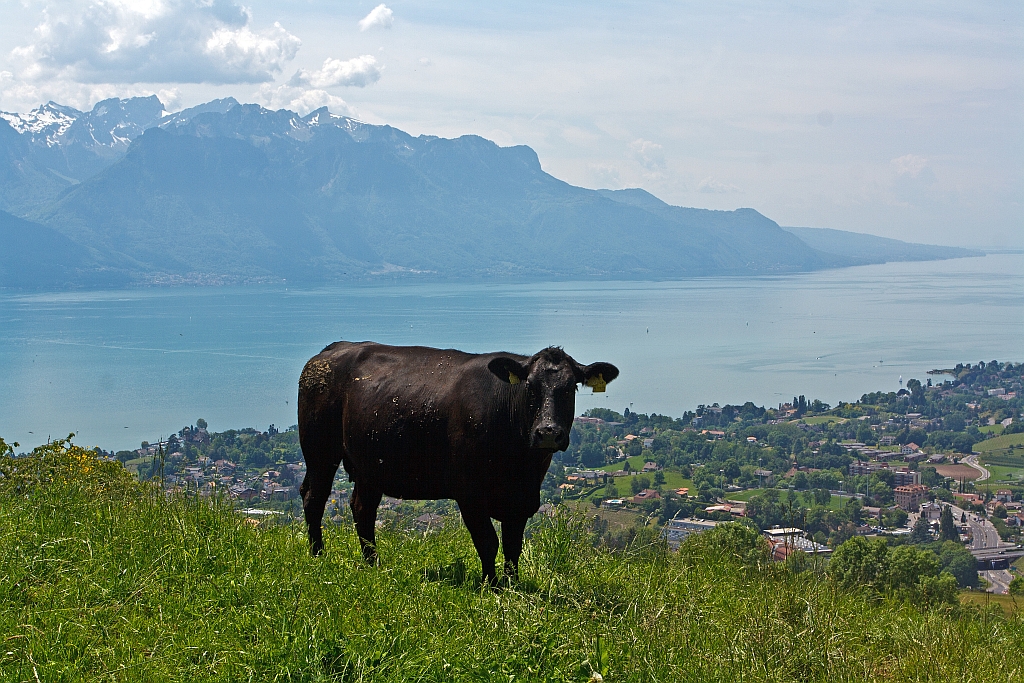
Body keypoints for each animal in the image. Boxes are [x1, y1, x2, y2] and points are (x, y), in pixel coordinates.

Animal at [296, 342, 614, 581]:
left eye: (570, 388)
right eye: (530, 387)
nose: (548, 432)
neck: (520, 465)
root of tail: (330, 351)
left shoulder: (521, 498)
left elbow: (513, 546)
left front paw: (513, 586)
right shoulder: (469, 492)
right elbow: (488, 542)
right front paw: (491, 586)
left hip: (370, 464)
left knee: (362, 509)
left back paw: (372, 564)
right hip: (319, 451)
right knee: (314, 497)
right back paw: (318, 556)